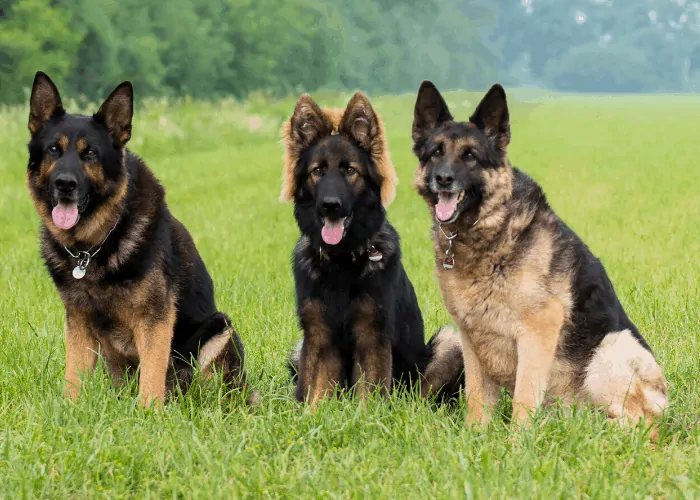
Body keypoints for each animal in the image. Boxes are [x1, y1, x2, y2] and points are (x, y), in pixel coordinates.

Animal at [26, 74, 254, 408]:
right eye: (54, 150)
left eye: (90, 154)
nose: (64, 184)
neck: (93, 248)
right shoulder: (78, 322)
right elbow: (73, 377)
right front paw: (70, 409)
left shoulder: (155, 320)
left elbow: (151, 376)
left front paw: (148, 413)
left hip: (218, 329)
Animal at [278, 92, 464, 402]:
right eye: (318, 171)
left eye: (350, 171)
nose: (330, 205)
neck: (341, 260)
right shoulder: (317, 335)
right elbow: (315, 395)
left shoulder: (372, 335)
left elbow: (370, 394)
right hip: (298, 348)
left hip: (448, 345)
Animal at [412, 82, 668, 430]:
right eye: (436, 152)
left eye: (470, 156)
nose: (443, 179)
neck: (492, 228)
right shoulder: (469, 338)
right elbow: (476, 401)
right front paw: (476, 436)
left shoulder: (538, 331)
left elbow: (522, 398)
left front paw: (517, 441)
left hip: (608, 351)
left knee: (642, 424)